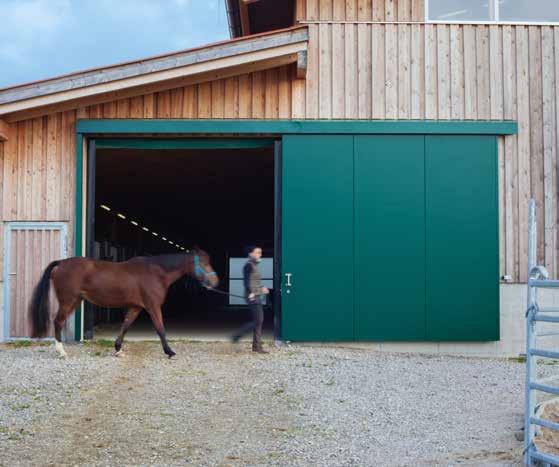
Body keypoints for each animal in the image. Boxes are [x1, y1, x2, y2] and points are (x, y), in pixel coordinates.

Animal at [29, 250, 219, 360]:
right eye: (204, 263)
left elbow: (126, 325)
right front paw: (169, 352)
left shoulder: (136, 307)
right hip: (68, 300)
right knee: (58, 322)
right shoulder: (152, 306)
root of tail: (61, 263)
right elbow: (160, 328)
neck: (155, 273)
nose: (215, 282)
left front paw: (118, 349)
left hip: (75, 300)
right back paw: (61, 352)